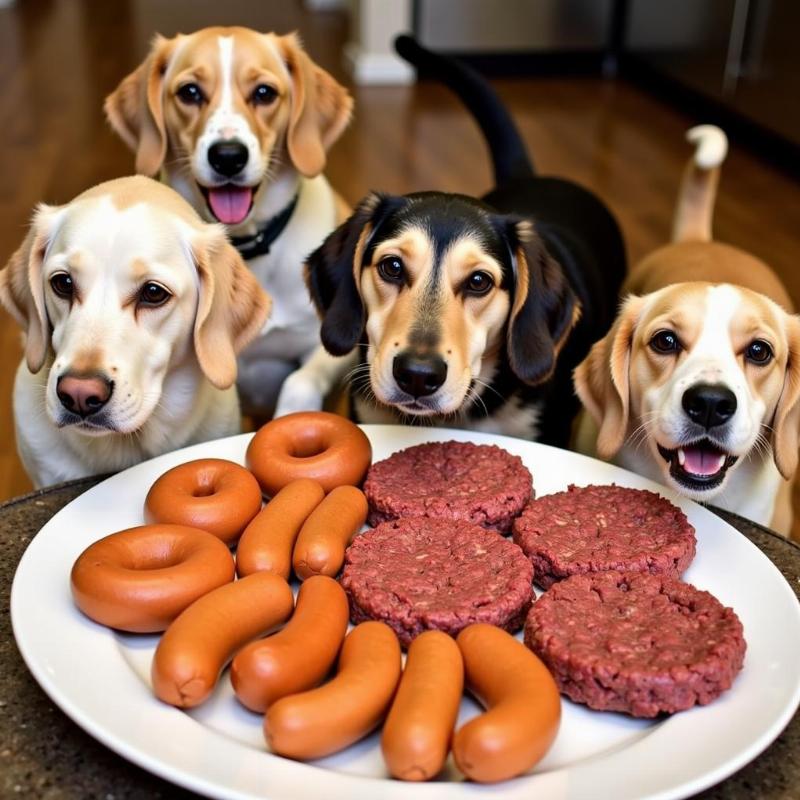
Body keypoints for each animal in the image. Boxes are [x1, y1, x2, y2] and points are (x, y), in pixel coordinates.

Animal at [104, 26, 354, 418]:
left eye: (264, 93)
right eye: (190, 92)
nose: (228, 156)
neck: (246, 244)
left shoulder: (332, 346)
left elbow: (300, 382)